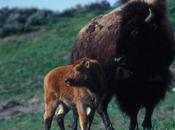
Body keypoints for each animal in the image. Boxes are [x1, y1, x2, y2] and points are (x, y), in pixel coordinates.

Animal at [71, 0, 174, 129]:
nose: (118, 59)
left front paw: (147, 125)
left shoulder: (158, 81)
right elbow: (133, 112)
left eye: (136, 32)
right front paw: (133, 126)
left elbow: (149, 108)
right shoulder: (127, 88)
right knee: (95, 107)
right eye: (119, 32)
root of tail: (77, 44)